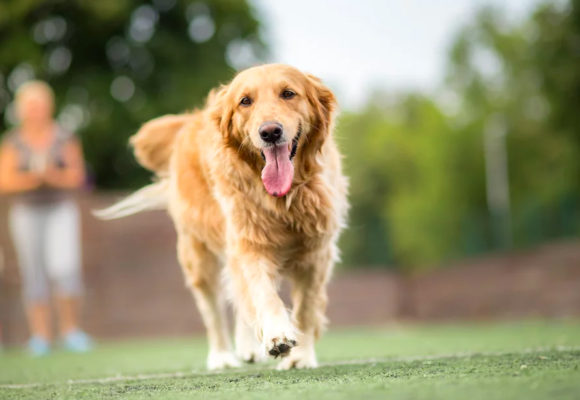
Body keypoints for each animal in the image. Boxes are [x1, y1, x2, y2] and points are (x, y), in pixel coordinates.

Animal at [97, 64, 346, 370]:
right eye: (245, 101)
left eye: (288, 93)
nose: (270, 132)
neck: (282, 199)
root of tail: (191, 119)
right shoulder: (249, 244)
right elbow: (263, 294)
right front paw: (276, 334)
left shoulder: (316, 252)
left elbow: (306, 308)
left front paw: (300, 357)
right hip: (198, 257)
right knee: (213, 311)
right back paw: (223, 357)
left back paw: (248, 349)